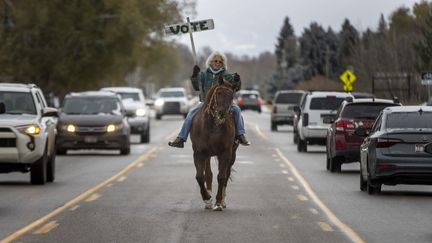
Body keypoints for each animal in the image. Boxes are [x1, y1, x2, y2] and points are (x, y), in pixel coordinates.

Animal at [191, 74, 241, 211]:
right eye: (219, 93)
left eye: (232, 96)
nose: (221, 113)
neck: (213, 127)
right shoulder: (199, 153)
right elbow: (200, 176)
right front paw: (207, 199)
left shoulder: (225, 153)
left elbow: (222, 177)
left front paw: (218, 202)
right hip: (207, 155)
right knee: (208, 174)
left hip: (232, 154)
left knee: (226, 174)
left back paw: (222, 200)